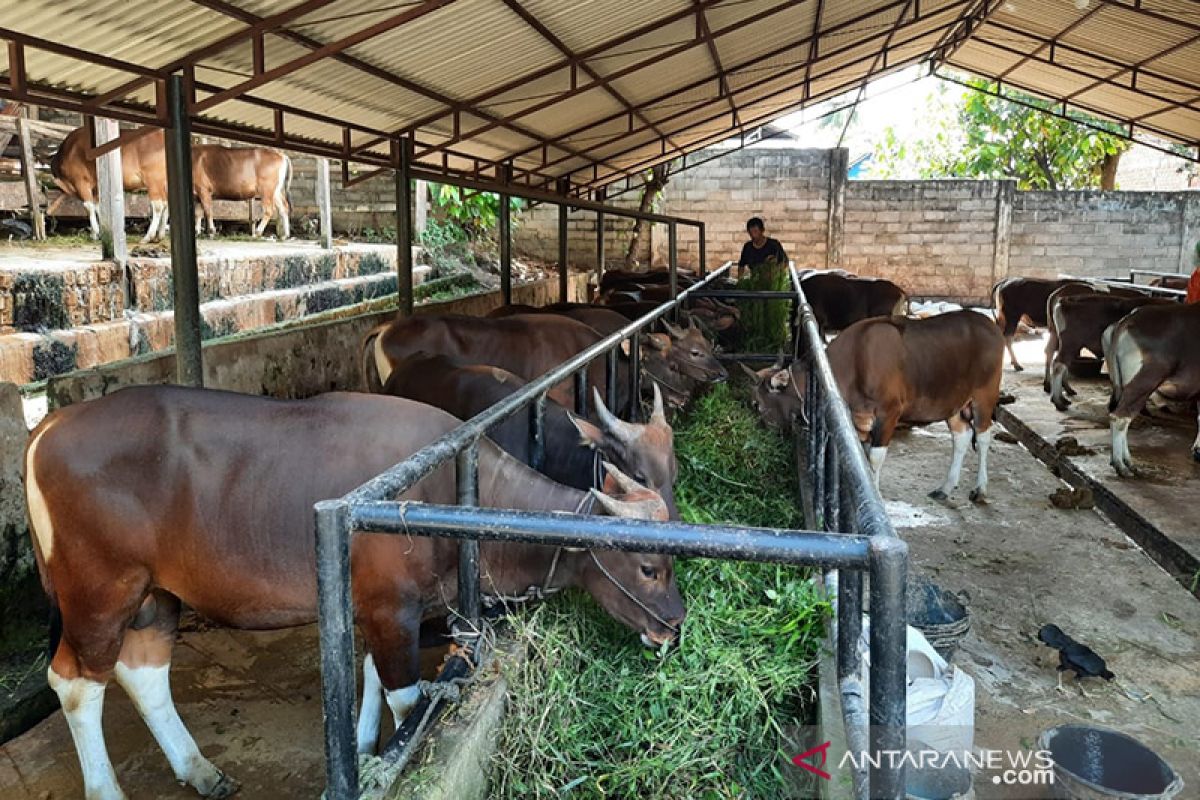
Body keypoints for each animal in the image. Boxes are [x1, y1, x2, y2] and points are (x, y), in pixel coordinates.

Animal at [25, 383, 686, 796]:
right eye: (648, 566)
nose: (674, 626)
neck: (445, 490)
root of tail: (46, 427)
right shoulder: (392, 610)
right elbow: (409, 702)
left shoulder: (376, 607)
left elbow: (367, 675)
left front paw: (365, 745)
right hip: (98, 590)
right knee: (76, 683)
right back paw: (107, 789)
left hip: (155, 595)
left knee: (143, 673)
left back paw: (199, 769)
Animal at [744, 311, 1008, 501]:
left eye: (757, 404)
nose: (758, 434)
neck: (853, 362)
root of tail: (991, 325)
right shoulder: (858, 420)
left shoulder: (889, 413)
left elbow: (874, 459)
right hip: (952, 403)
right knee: (961, 438)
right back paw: (945, 487)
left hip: (984, 396)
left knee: (983, 437)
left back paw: (980, 489)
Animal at [1041, 292, 1171, 410]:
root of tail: (1065, 300)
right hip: (1071, 342)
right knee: (1058, 364)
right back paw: (1058, 401)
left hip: (1062, 339)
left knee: (1056, 358)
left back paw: (1064, 393)